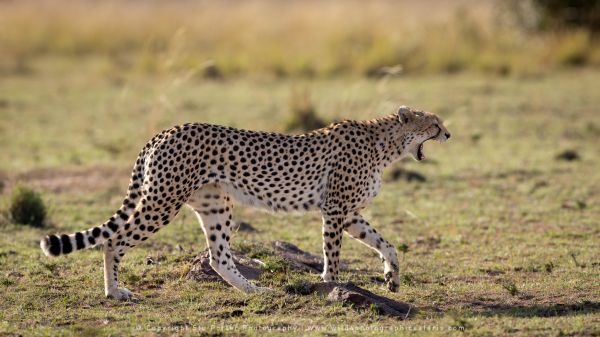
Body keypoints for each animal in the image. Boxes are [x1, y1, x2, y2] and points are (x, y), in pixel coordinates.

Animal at [39, 105, 450, 300]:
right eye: (433, 123)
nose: (448, 133)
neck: (385, 144)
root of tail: (167, 129)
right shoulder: (335, 210)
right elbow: (332, 254)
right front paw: (331, 285)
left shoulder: (348, 214)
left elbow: (386, 243)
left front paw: (392, 277)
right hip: (162, 201)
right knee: (112, 240)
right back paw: (114, 292)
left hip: (215, 205)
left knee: (218, 258)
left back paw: (255, 292)